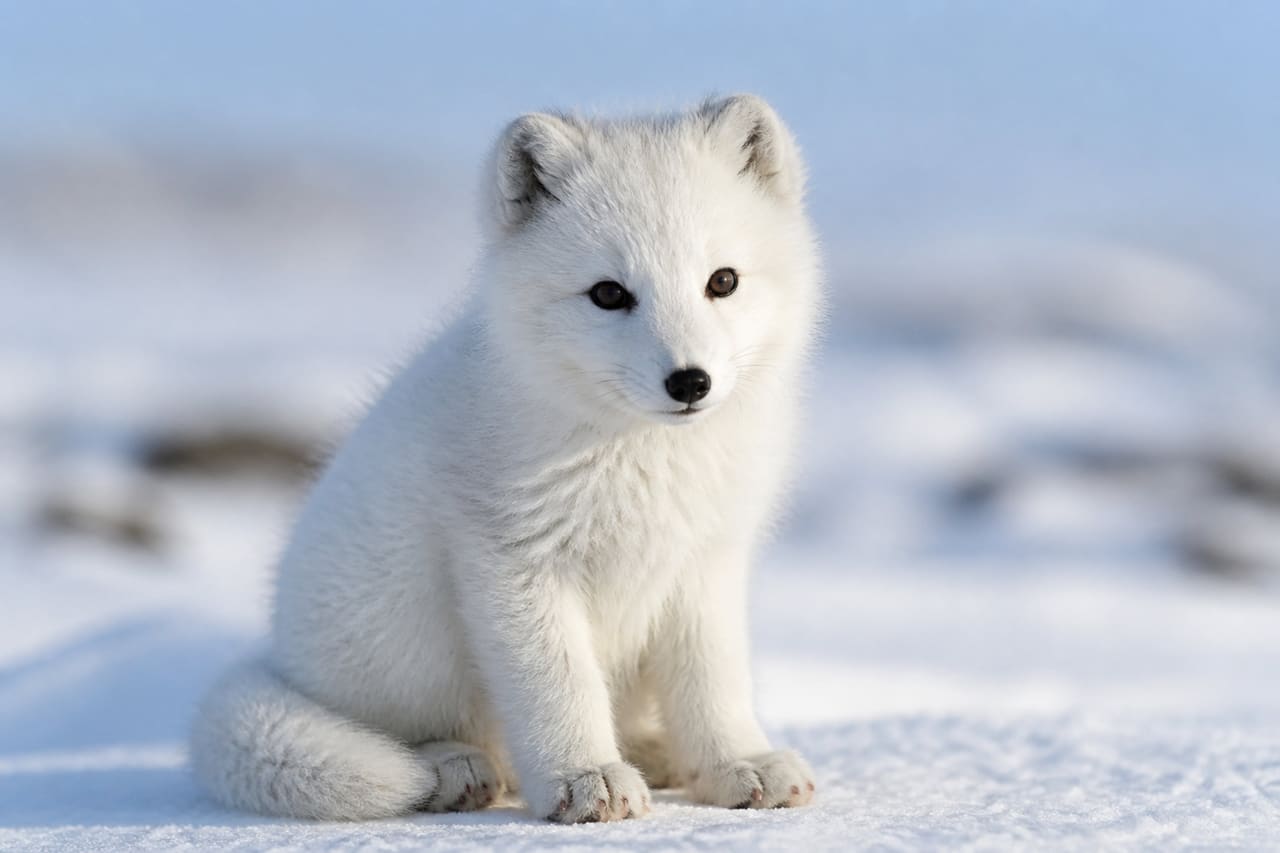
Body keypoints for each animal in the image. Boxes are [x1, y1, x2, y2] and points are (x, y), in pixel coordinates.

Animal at [189, 94, 821, 823]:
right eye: (609, 293)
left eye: (723, 281)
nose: (690, 382)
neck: (641, 459)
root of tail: (278, 659)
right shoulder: (512, 562)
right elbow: (558, 684)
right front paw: (586, 777)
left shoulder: (705, 563)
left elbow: (713, 682)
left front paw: (737, 765)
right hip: (400, 641)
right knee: (407, 733)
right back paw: (451, 769)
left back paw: (654, 753)